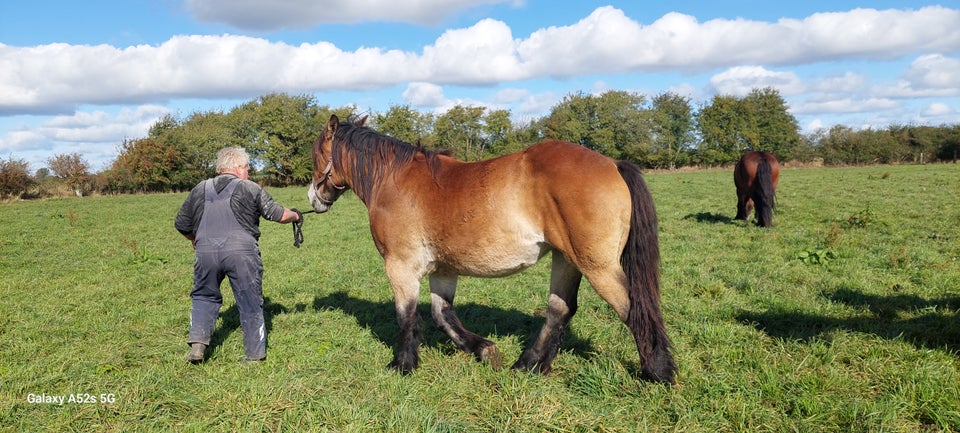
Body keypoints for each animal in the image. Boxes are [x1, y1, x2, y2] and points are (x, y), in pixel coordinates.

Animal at [308, 114, 676, 382]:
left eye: (316, 155)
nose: (313, 198)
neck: (394, 181)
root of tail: (612, 163)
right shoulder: (443, 269)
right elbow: (442, 314)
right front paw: (484, 350)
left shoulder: (400, 266)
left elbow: (406, 315)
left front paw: (402, 364)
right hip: (567, 259)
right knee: (559, 309)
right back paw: (529, 365)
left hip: (596, 266)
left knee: (633, 307)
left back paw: (658, 372)